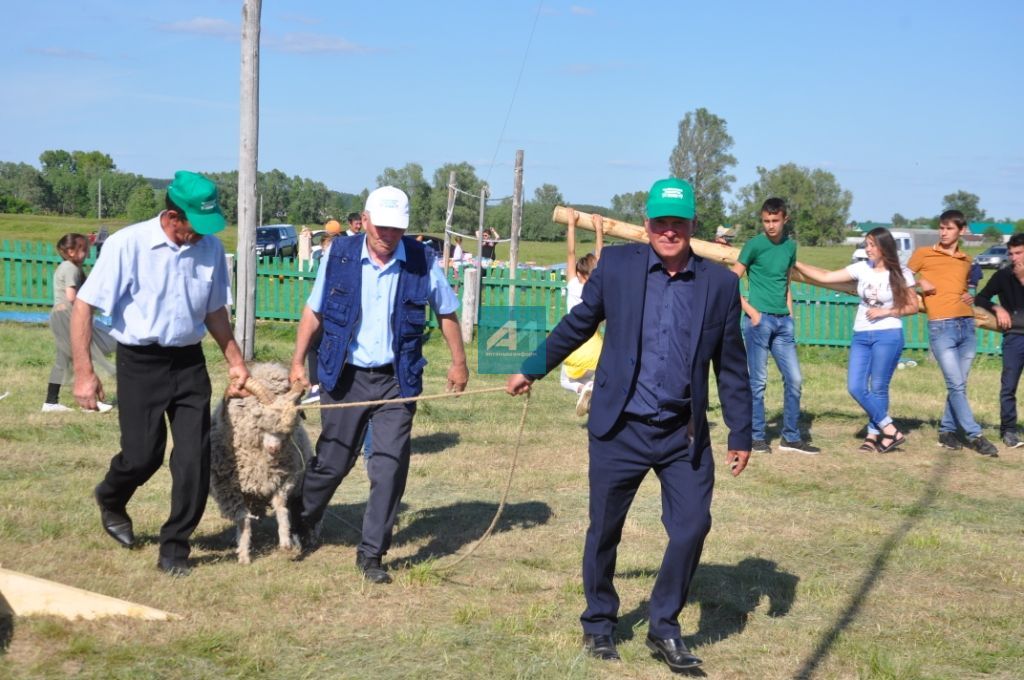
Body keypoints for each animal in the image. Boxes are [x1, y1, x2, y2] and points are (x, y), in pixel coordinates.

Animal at [208, 360, 311, 561]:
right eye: (259, 418)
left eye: (289, 428)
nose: (275, 449)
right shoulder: (230, 489)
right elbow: (243, 520)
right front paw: (244, 555)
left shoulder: (284, 478)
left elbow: (281, 507)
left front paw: (285, 542)